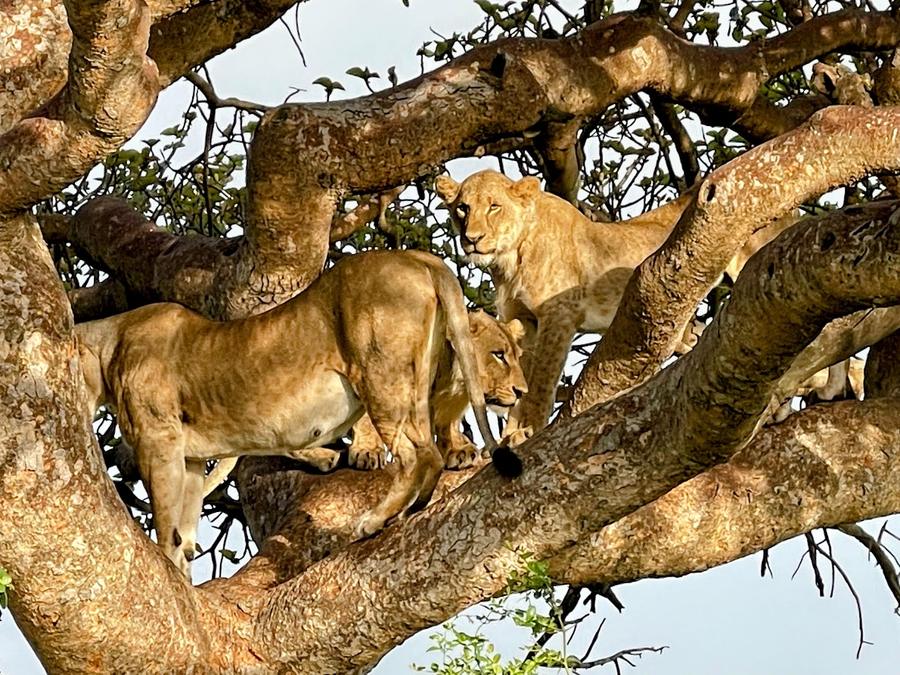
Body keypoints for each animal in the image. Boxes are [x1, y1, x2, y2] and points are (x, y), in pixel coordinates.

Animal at [75, 250, 523, 578]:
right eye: (499, 355)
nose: (520, 390)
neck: (108, 342)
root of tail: (418, 257)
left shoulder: (159, 442)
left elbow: (167, 525)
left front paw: (171, 574)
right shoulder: (191, 458)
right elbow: (183, 531)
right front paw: (184, 578)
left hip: (380, 375)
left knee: (419, 454)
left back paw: (376, 519)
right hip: (413, 381)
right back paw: (407, 504)